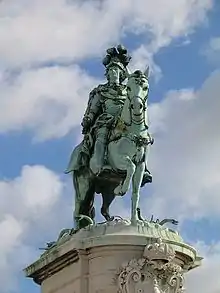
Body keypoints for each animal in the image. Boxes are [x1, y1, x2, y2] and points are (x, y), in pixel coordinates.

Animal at [64, 69, 152, 228]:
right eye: (129, 88)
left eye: (145, 87)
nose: (137, 107)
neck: (134, 132)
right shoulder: (118, 160)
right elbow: (130, 167)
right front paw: (121, 189)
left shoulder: (141, 165)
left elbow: (135, 193)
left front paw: (136, 221)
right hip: (83, 186)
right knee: (78, 209)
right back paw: (77, 229)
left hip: (107, 189)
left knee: (104, 209)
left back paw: (111, 220)